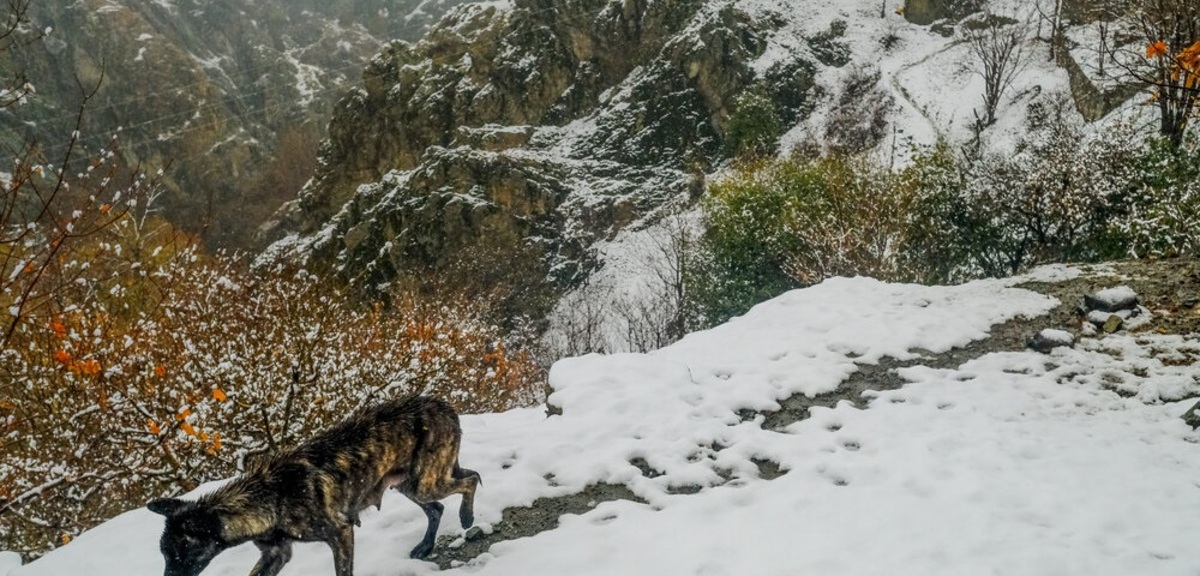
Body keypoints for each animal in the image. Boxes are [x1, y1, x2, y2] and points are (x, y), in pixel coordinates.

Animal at [150, 396, 482, 576]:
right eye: (164, 554)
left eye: (180, 553)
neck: (272, 497)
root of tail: (444, 406)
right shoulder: (276, 555)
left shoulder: (341, 533)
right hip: (410, 484)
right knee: (439, 506)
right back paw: (426, 546)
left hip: (426, 481)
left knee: (471, 480)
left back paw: (467, 518)